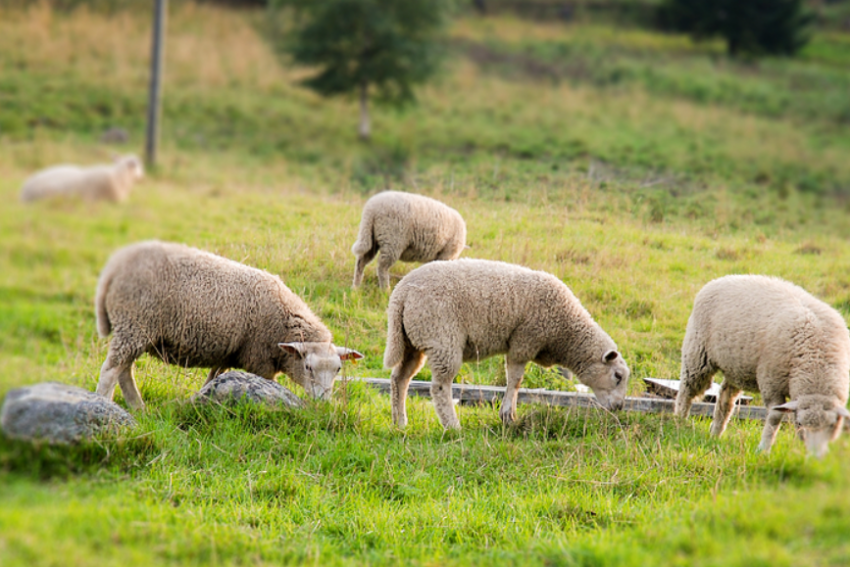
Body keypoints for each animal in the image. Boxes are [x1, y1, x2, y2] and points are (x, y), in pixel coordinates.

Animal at [95, 241, 362, 412]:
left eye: (339, 369)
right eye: (307, 367)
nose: (322, 403)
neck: (284, 322)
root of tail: (114, 267)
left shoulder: (228, 353)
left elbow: (212, 379)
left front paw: (201, 400)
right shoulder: (259, 360)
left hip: (136, 330)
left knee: (124, 370)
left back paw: (138, 407)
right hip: (135, 323)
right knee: (112, 369)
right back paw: (105, 402)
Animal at [382, 258, 628, 430]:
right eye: (617, 376)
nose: (619, 407)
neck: (565, 333)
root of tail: (401, 293)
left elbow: (515, 381)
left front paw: (508, 415)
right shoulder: (524, 341)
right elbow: (515, 380)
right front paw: (508, 415)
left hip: (411, 341)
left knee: (399, 378)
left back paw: (399, 421)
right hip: (442, 337)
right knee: (440, 387)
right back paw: (452, 426)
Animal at [676, 274, 848, 458]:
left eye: (832, 425)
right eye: (800, 423)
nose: (816, 457)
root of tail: (721, 279)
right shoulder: (771, 383)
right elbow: (774, 417)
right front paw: (764, 448)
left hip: (736, 366)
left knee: (725, 398)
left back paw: (716, 432)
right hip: (697, 353)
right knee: (687, 390)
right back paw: (678, 420)